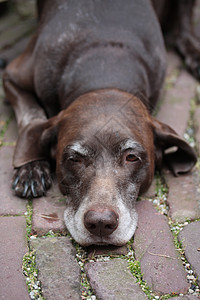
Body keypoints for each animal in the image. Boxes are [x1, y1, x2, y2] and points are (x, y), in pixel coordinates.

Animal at [3, 0, 198, 246]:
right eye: (74, 159)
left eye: (131, 157)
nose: (101, 223)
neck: (106, 67)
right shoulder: (12, 77)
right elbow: (32, 115)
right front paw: (31, 167)